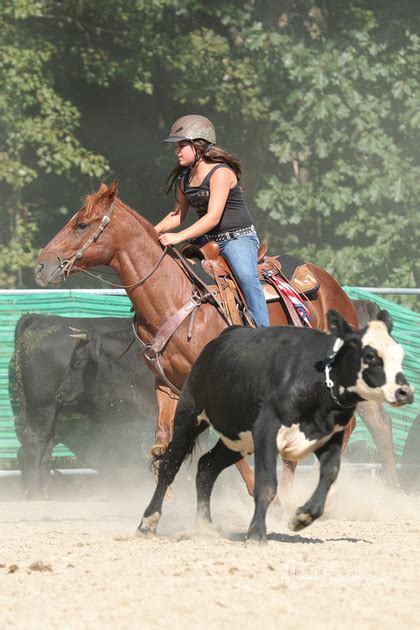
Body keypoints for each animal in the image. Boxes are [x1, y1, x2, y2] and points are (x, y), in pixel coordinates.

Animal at [35, 181, 358, 498]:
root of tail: (329, 283)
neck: (172, 297)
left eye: (81, 225)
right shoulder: (166, 386)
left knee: (346, 422)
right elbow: (165, 439)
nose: (40, 266)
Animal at [139, 310, 414, 544]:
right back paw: (148, 523)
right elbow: (267, 485)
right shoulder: (266, 434)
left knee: (207, 467)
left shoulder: (329, 439)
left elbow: (329, 473)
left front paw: (303, 516)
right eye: (370, 356)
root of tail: (221, 339)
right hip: (189, 416)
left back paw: (205, 527)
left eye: (399, 355)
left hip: (237, 440)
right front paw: (256, 533)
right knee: (169, 467)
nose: (405, 392)